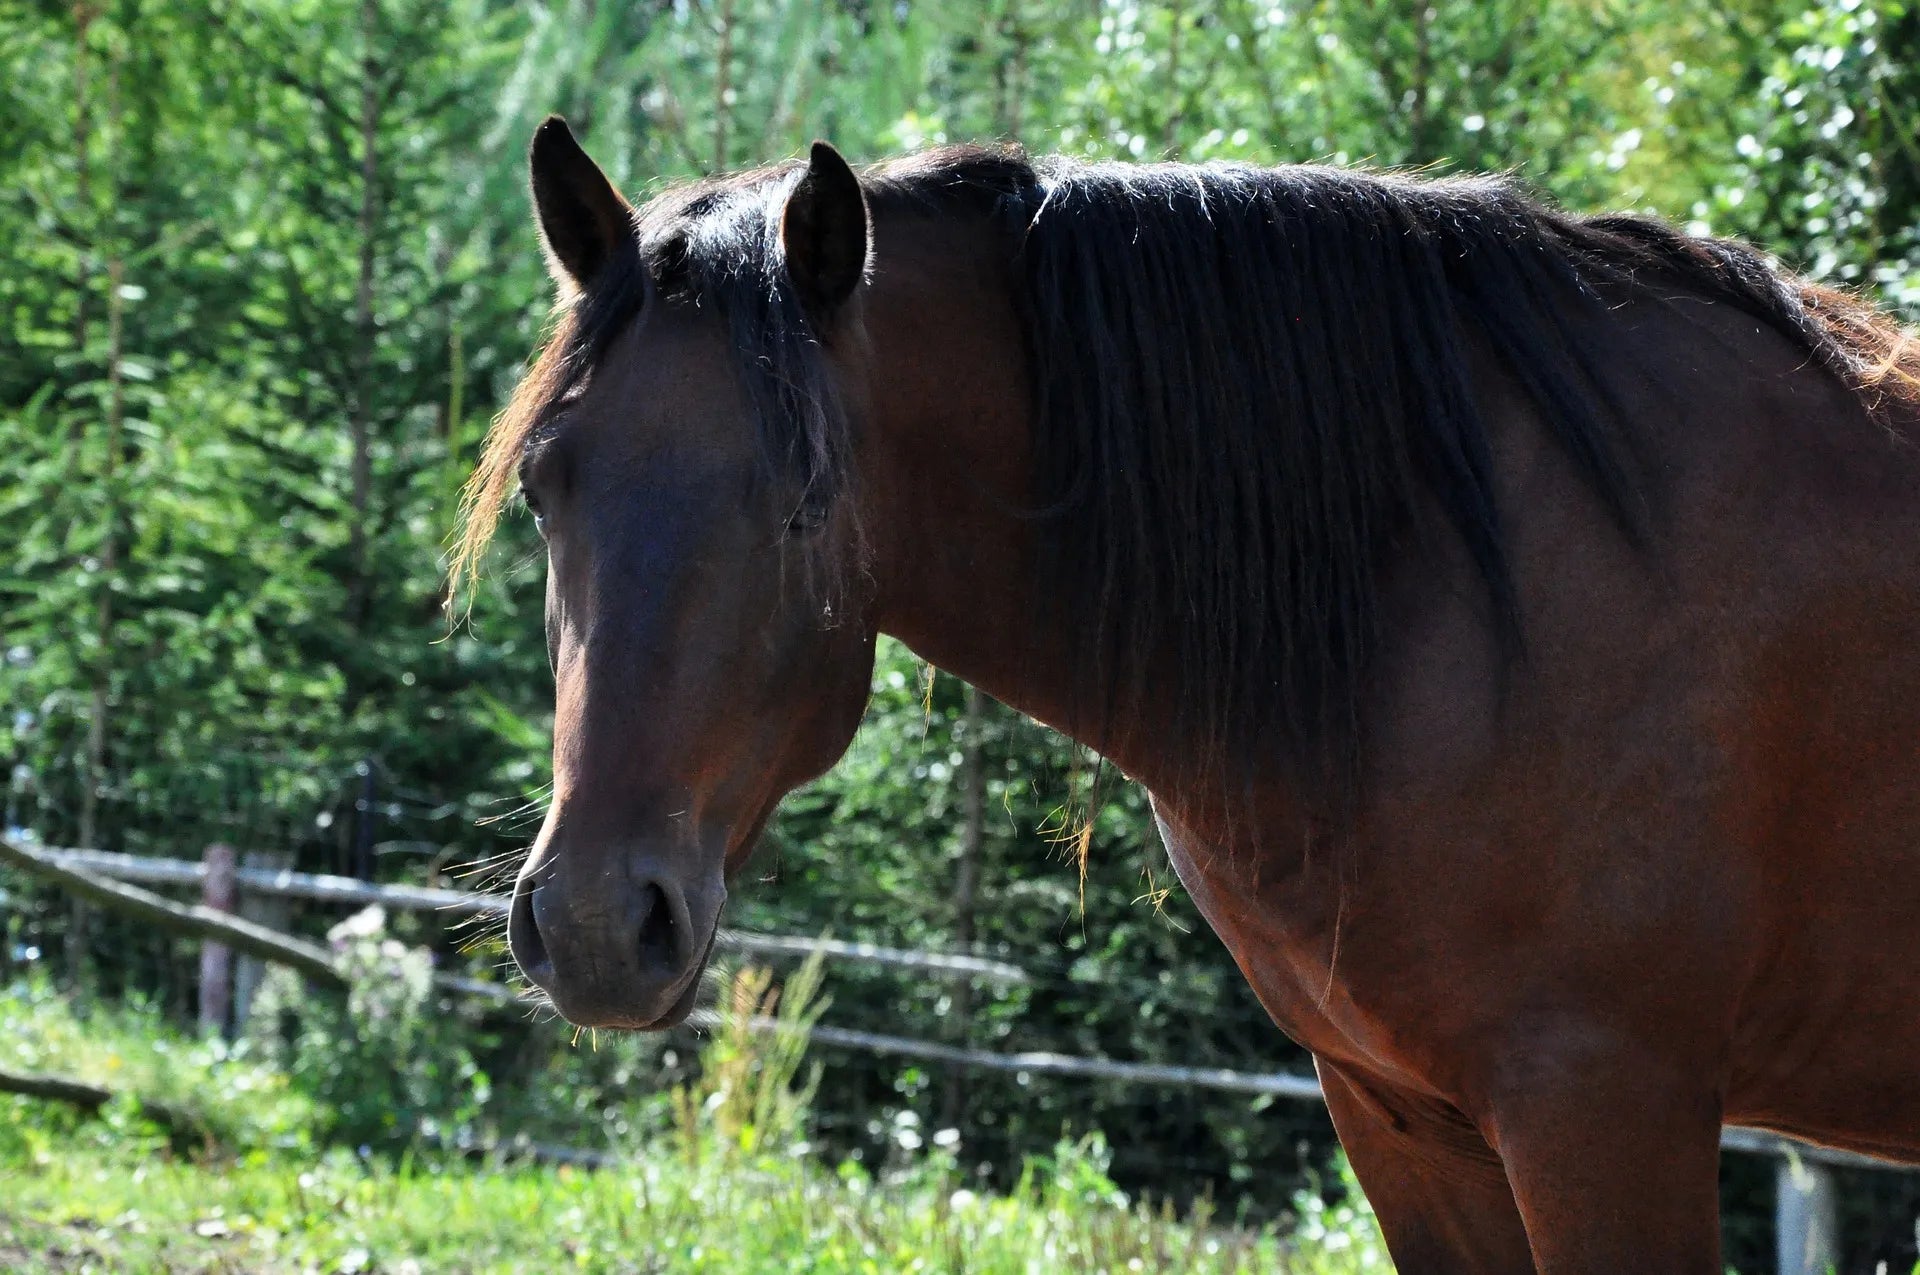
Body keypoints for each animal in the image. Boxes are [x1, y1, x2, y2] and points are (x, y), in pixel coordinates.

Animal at [453, 117, 1920, 1272]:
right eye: (544, 486)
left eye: (807, 498)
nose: (593, 924)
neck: (1449, 579)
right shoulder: (1408, 1119)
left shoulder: (1607, 1107)